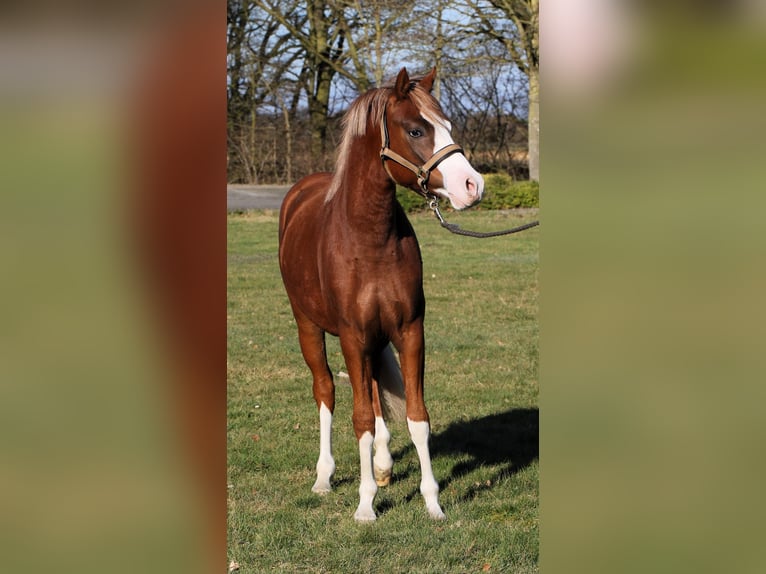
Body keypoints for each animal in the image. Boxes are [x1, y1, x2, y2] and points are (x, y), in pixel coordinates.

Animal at [280, 67, 484, 520]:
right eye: (416, 129)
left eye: (447, 125)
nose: (472, 185)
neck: (369, 238)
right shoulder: (353, 336)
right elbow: (359, 419)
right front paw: (365, 505)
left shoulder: (409, 330)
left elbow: (416, 416)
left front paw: (432, 502)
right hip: (308, 328)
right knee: (326, 391)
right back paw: (325, 477)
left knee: (373, 393)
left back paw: (384, 463)